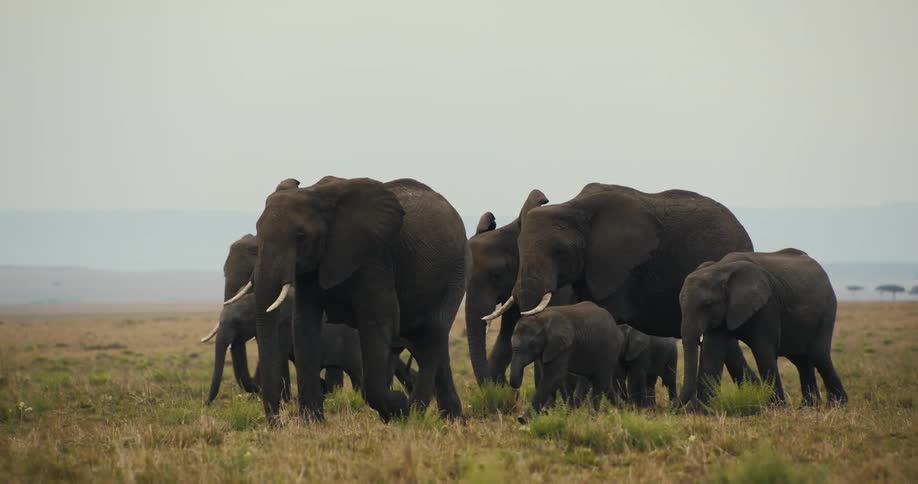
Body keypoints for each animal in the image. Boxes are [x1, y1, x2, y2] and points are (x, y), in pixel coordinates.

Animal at [231, 177, 466, 423]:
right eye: (258, 233)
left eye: (301, 236)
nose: (276, 423)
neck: (317, 194)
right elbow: (304, 322)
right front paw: (312, 422)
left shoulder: (374, 256)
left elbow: (376, 321)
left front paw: (397, 407)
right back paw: (452, 419)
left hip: (455, 273)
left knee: (432, 338)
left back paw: (415, 413)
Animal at [679, 248, 848, 406]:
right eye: (679, 302)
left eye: (707, 304)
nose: (675, 408)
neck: (720, 268)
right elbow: (712, 352)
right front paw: (705, 411)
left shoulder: (768, 304)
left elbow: (763, 350)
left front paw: (777, 408)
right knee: (802, 361)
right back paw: (809, 407)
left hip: (827, 311)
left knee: (819, 356)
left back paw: (837, 405)